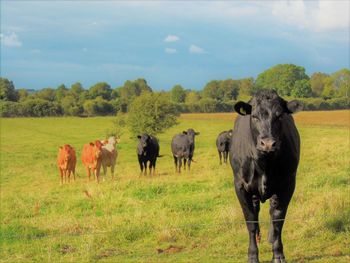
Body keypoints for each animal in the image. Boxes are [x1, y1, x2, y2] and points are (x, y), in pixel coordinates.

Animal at [231, 89, 302, 262]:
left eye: (279, 116)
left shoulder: (287, 184)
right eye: (255, 116)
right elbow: (250, 219)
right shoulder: (240, 186)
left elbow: (278, 219)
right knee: (256, 211)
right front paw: (252, 255)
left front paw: (278, 254)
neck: (264, 164)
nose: (268, 143)